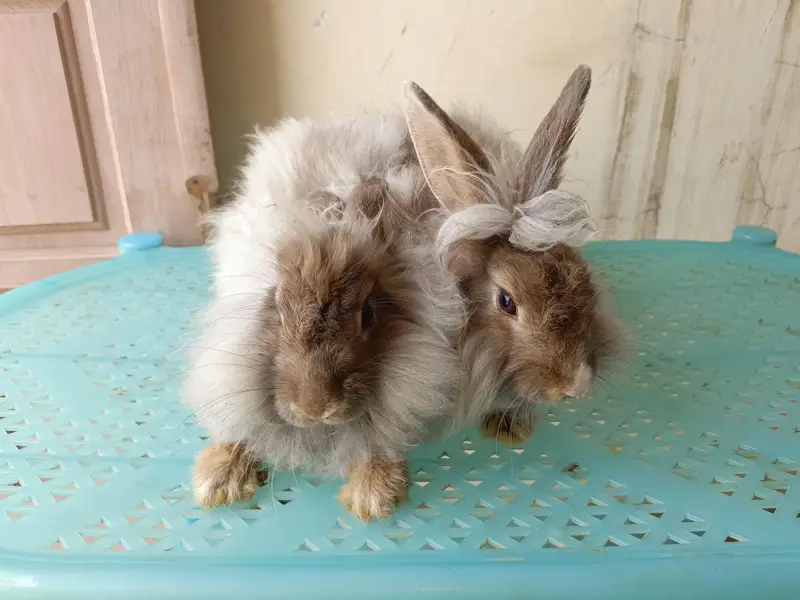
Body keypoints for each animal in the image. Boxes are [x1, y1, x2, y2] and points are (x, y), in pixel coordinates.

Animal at [183, 113, 465, 521]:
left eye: (368, 313)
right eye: (277, 308)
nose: (316, 407)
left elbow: (378, 435)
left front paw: (373, 494)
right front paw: (216, 479)